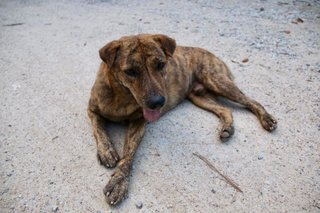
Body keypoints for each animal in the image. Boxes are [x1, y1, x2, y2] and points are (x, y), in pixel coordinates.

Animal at [87, 34, 278, 206]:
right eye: (130, 72)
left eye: (161, 65)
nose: (158, 102)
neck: (121, 96)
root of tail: (210, 53)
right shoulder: (92, 110)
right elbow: (99, 130)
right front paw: (107, 151)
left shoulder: (139, 123)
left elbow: (128, 155)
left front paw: (119, 182)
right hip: (199, 97)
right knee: (225, 109)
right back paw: (227, 128)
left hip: (217, 81)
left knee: (251, 101)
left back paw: (267, 118)